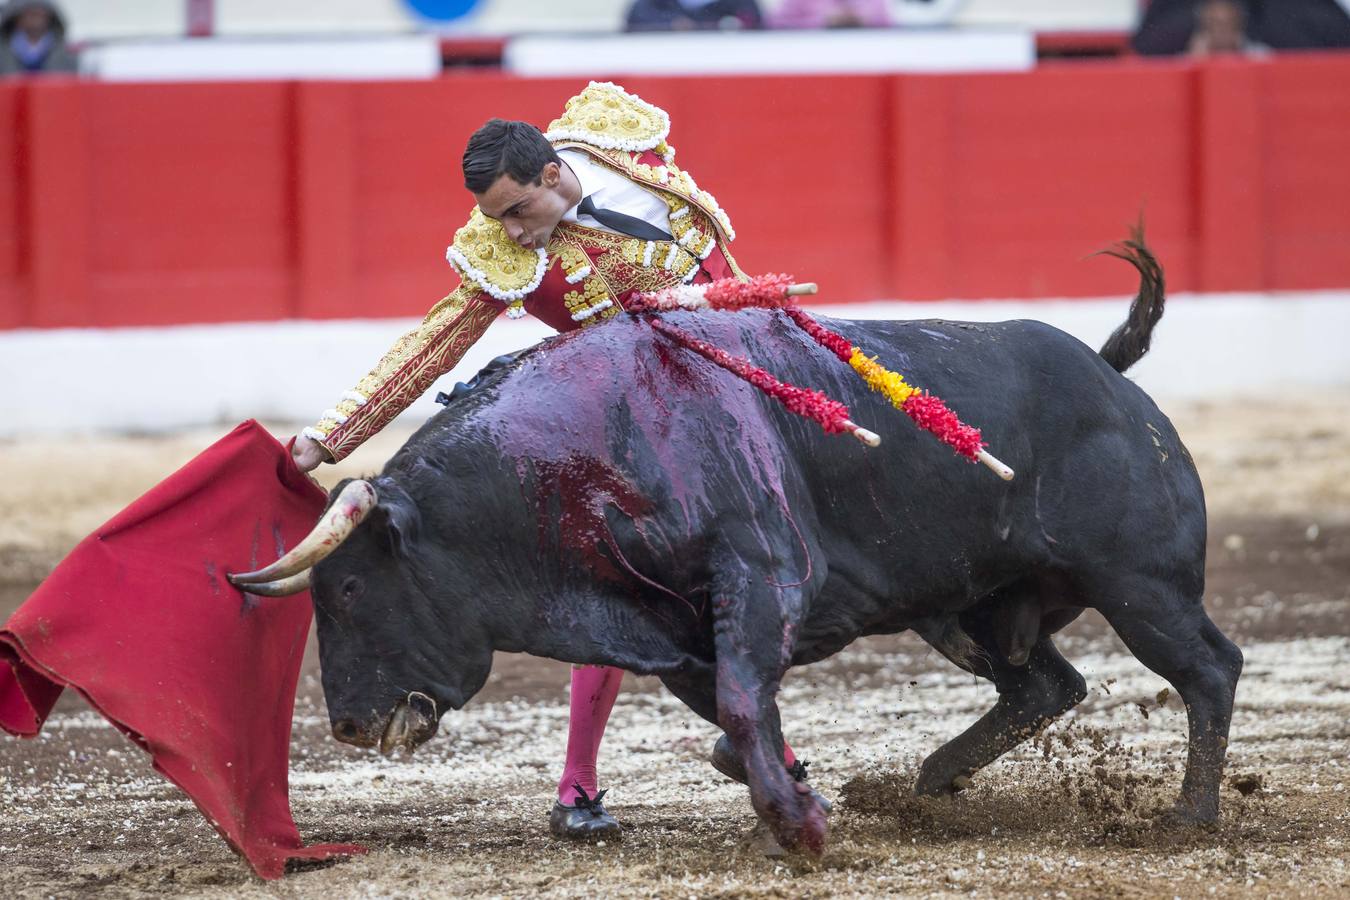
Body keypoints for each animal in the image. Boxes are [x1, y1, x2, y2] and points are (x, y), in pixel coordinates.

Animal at [309, 244, 1242, 852]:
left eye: (349, 590)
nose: (347, 723)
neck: (586, 453)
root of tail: (1112, 373)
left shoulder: (765, 572)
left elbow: (741, 701)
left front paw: (796, 827)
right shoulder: (672, 626)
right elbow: (734, 707)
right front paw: (794, 800)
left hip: (1141, 585)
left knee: (1207, 668)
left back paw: (1189, 818)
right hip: (969, 606)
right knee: (1045, 685)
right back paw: (924, 787)